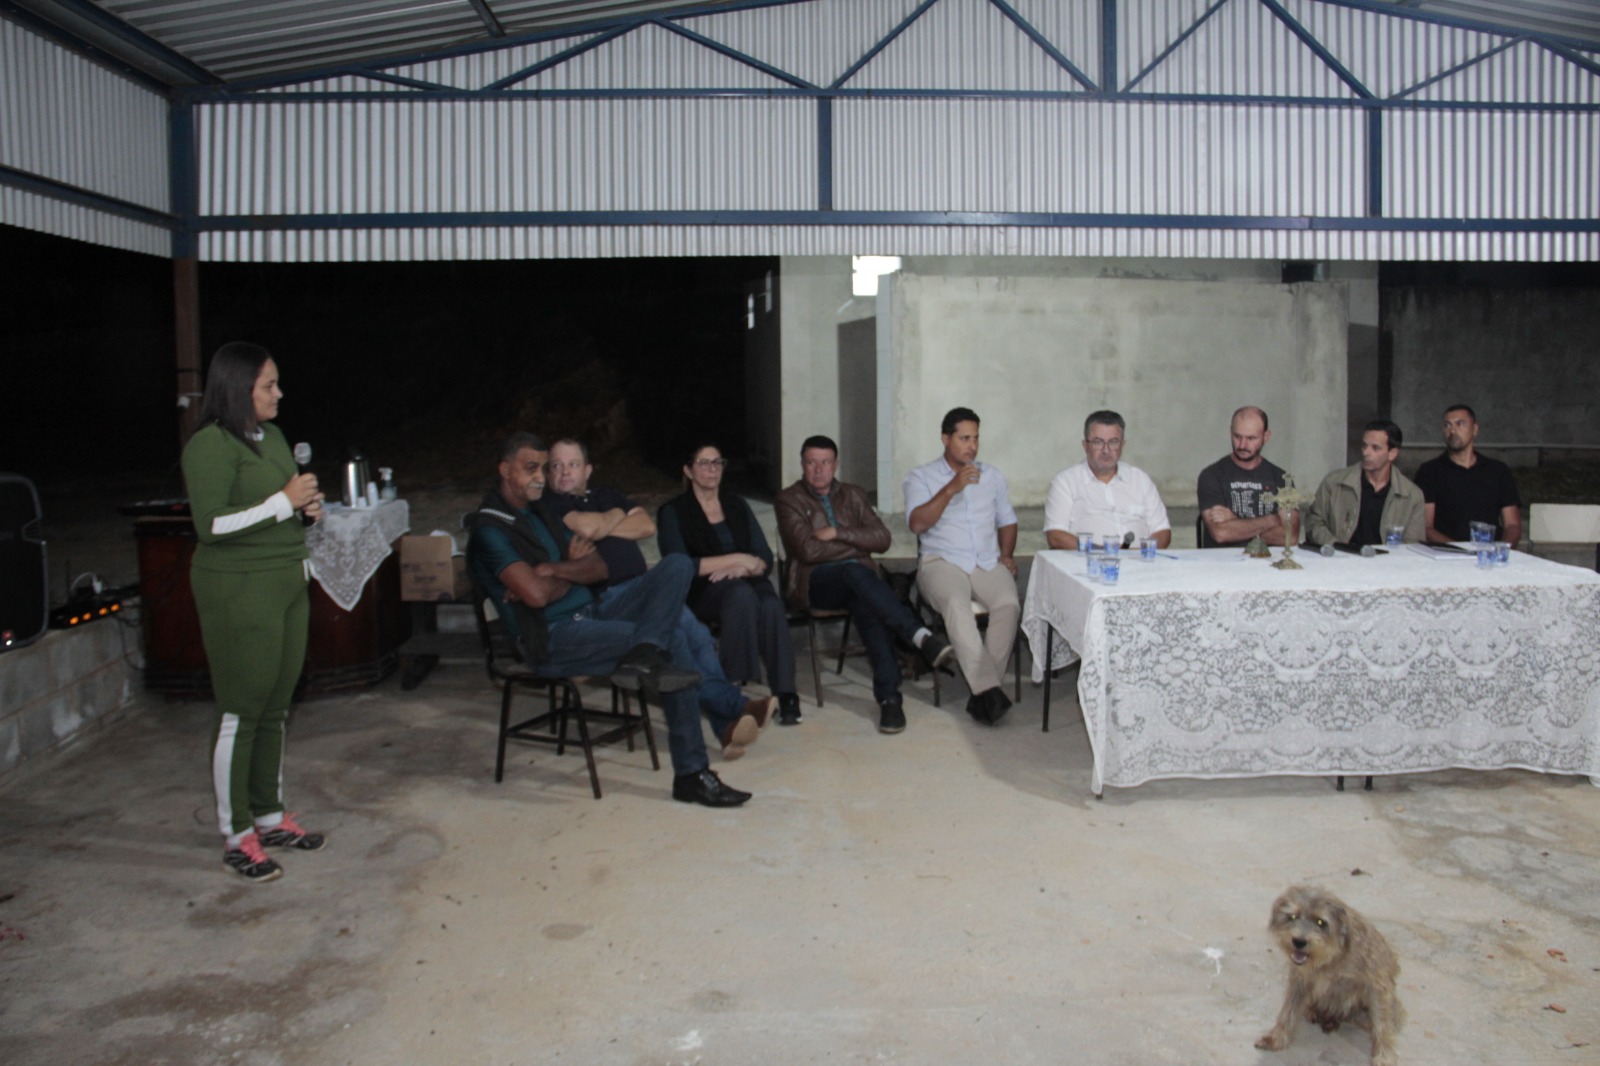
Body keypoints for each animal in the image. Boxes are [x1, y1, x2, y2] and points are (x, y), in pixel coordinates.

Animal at [1255, 884, 1405, 1066]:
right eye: (1292, 916)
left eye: (1321, 922)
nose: (1298, 941)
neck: (1331, 960)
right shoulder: (1299, 982)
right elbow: (1288, 1011)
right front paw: (1276, 1038)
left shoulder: (1377, 985)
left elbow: (1382, 1024)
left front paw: (1384, 1055)